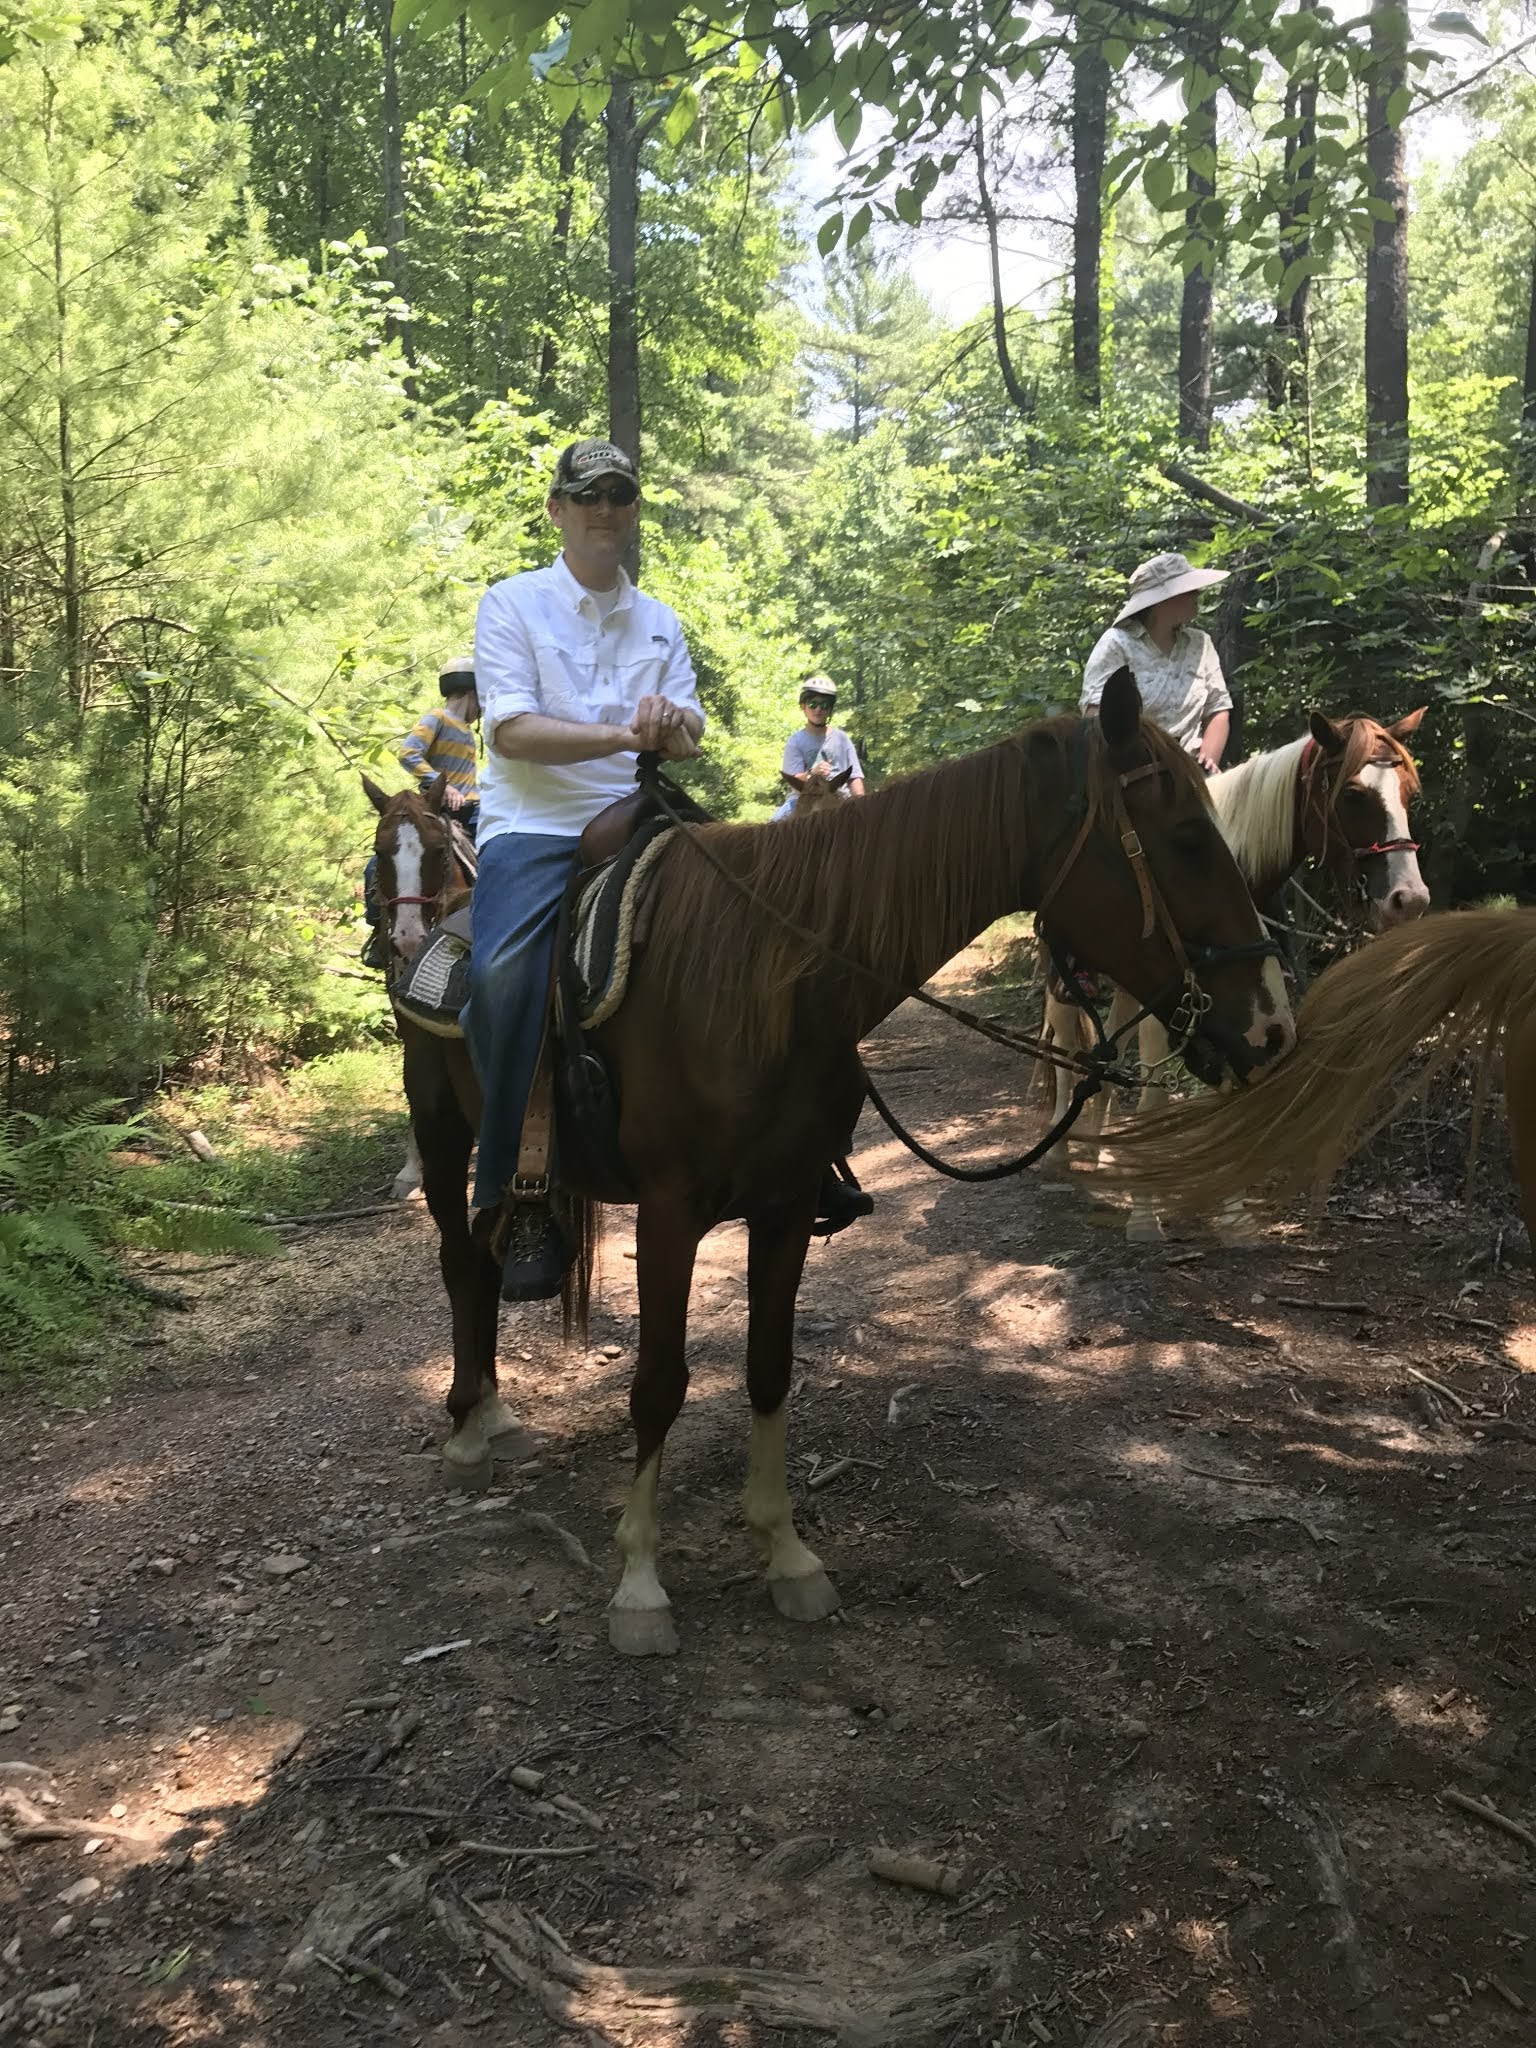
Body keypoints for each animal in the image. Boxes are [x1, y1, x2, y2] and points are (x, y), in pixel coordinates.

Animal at [1037, 709, 1427, 1239]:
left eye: (1409, 794)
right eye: (1352, 794)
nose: (1410, 899)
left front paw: (1233, 1213)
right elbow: (1156, 1090)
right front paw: (1145, 1217)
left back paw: (1103, 1150)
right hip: (1065, 978)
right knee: (1063, 1043)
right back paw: (1059, 1151)